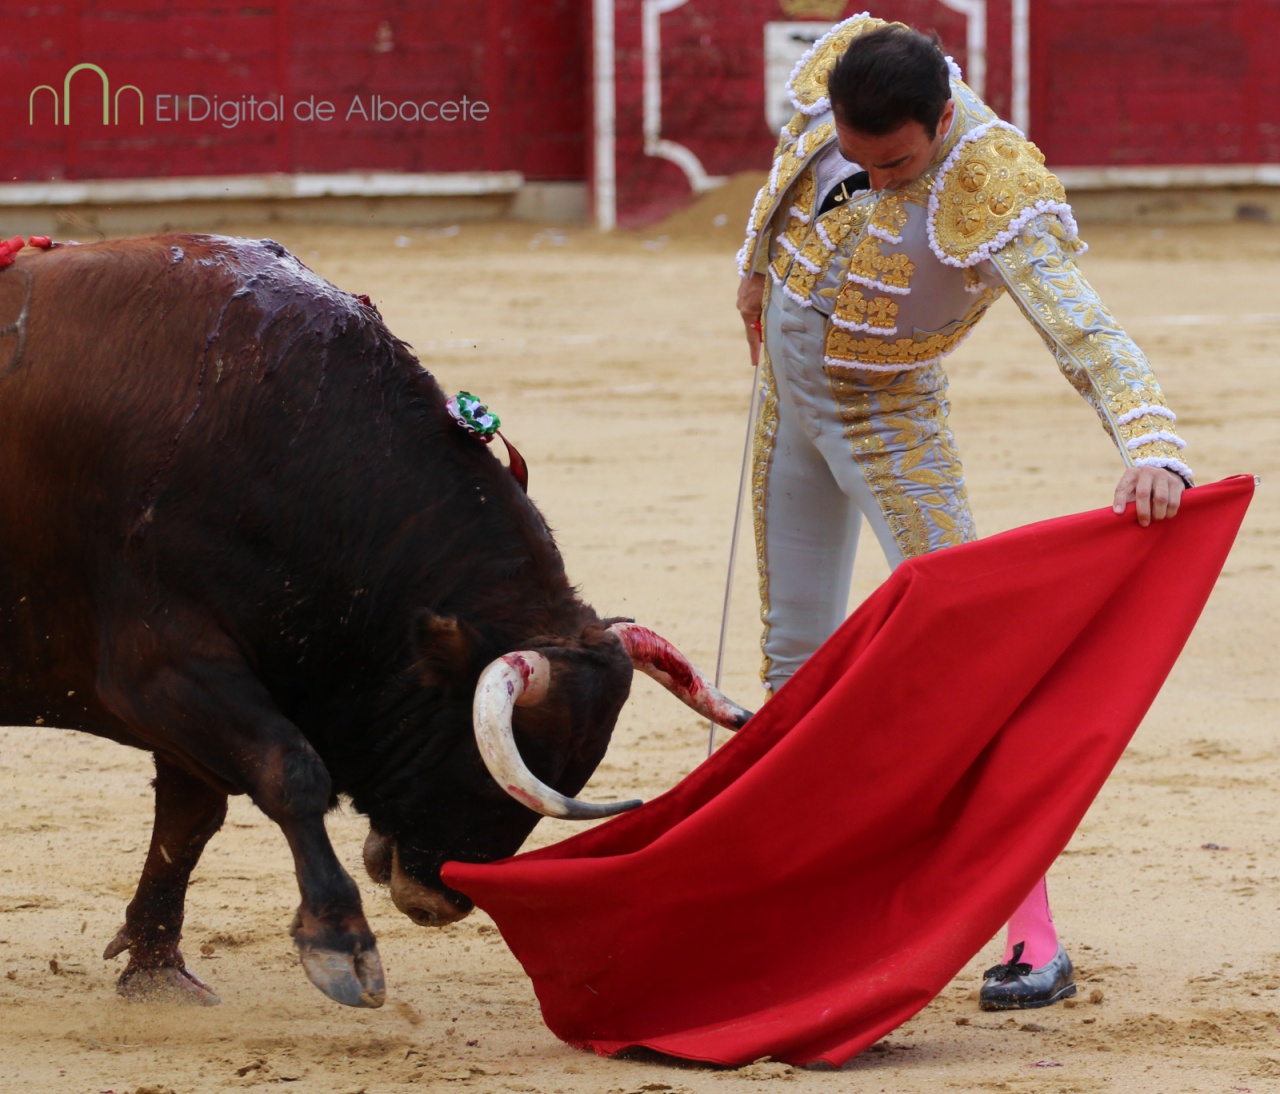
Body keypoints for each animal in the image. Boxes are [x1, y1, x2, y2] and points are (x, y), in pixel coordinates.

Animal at [0, 234, 749, 1009]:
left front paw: (155, 967)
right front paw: (341, 943)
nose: (439, 902)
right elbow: (289, 769)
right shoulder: (161, 668)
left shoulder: (185, 699)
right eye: (502, 756)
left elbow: (192, 815)